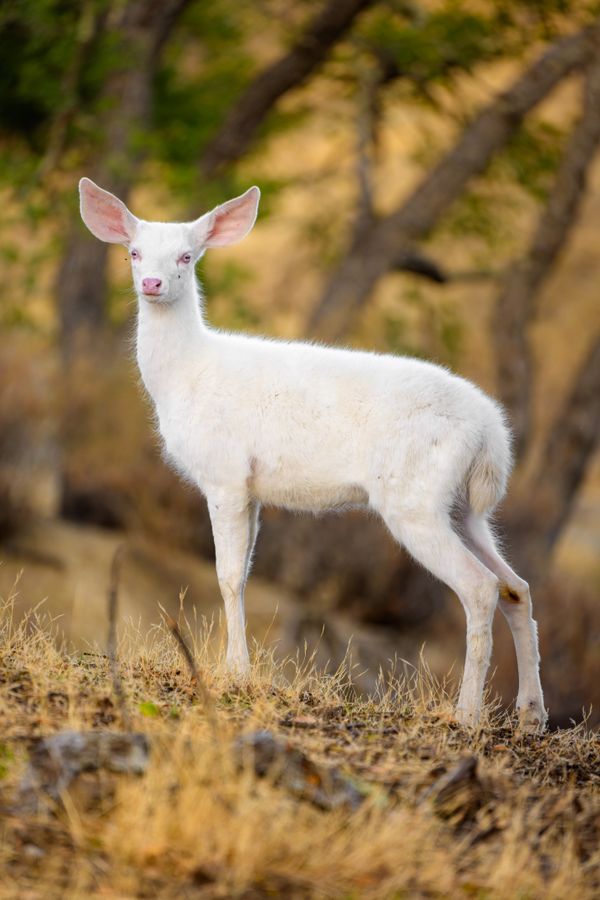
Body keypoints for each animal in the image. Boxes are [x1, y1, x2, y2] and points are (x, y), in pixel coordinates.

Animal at [79, 177, 546, 730]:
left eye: (187, 256)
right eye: (133, 252)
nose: (151, 283)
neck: (185, 376)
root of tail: (491, 435)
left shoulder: (224, 473)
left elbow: (227, 576)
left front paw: (236, 672)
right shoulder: (253, 489)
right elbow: (243, 573)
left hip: (413, 498)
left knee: (479, 587)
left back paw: (467, 713)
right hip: (465, 507)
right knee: (516, 586)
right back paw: (531, 715)